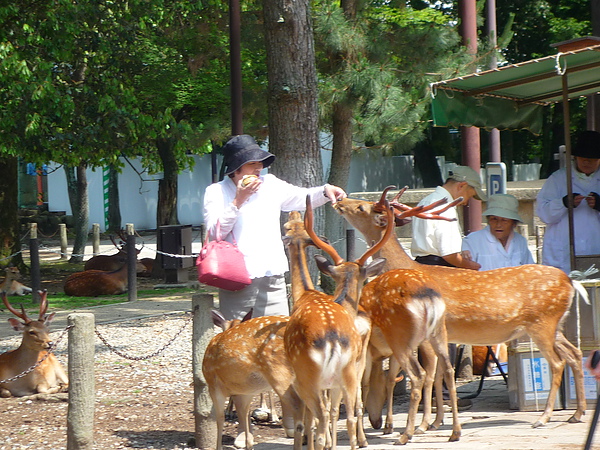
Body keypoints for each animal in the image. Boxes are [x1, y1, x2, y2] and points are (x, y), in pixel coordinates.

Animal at [284, 196, 394, 450]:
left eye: (286, 228)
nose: (293, 213)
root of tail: (332, 339)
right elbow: (340, 411)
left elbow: (312, 420)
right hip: (347, 372)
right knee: (350, 415)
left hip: (308, 377)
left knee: (321, 418)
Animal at [336, 187, 588, 432]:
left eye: (361, 207)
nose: (339, 200)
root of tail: (570, 282)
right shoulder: (445, 336)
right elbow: (440, 374)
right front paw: (437, 421)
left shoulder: (427, 336)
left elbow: (430, 375)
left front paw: (423, 424)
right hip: (555, 325)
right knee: (575, 354)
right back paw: (576, 413)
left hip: (542, 323)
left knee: (557, 363)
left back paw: (543, 418)